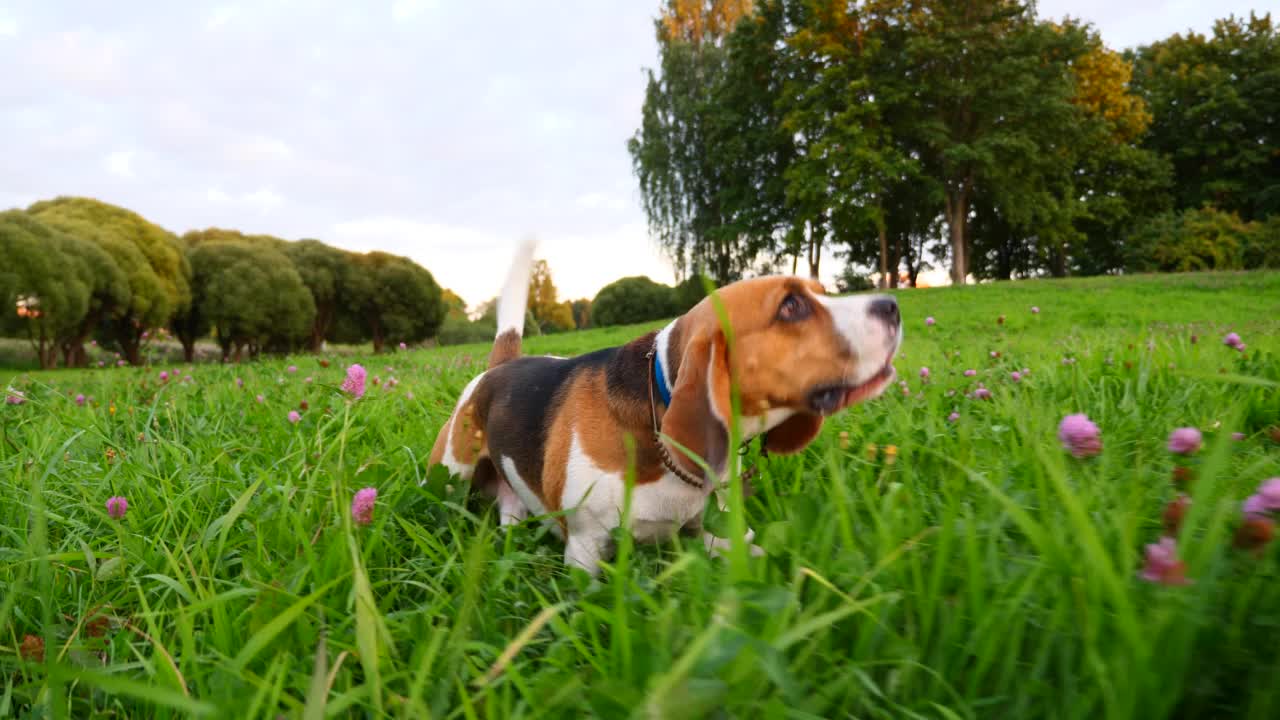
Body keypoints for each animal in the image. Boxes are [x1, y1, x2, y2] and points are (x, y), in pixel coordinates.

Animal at [427, 243, 901, 573]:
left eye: (824, 292)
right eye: (791, 306)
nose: (893, 305)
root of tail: (497, 368)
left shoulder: (707, 530)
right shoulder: (584, 548)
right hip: (449, 474)